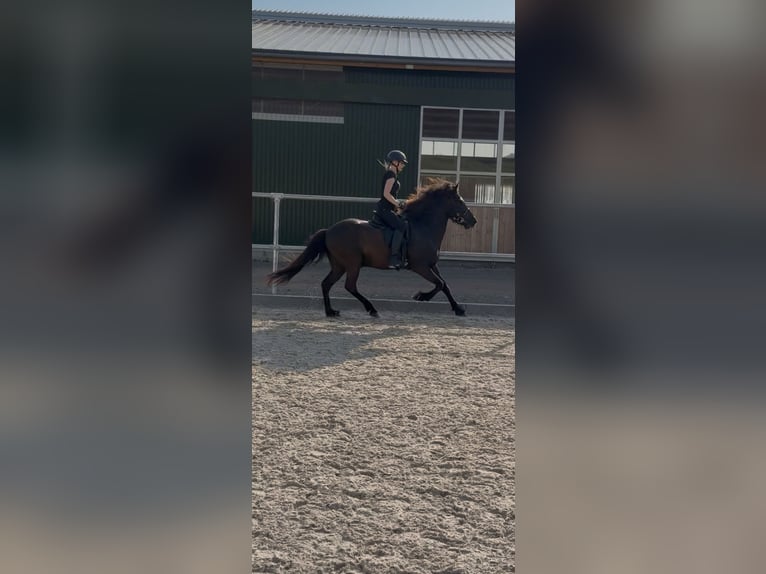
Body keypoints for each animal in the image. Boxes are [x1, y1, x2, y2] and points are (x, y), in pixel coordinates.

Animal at [266, 178, 478, 317]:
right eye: (459, 200)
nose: (473, 221)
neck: (422, 226)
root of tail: (329, 230)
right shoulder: (420, 266)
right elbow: (439, 284)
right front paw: (421, 296)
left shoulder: (432, 265)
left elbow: (445, 285)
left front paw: (458, 309)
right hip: (353, 264)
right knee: (350, 286)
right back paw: (371, 309)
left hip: (339, 265)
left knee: (326, 284)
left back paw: (331, 312)